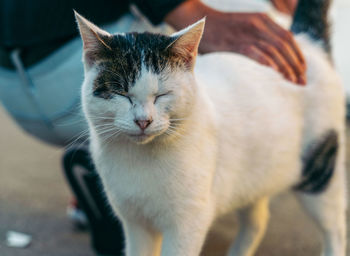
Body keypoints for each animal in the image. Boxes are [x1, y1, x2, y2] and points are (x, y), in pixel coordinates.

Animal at [75, 0, 346, 255]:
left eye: (162, 95)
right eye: (122, 94)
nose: (143, 121)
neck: (140, 159)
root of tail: (305, 42)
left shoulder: (187, 223)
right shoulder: (135, 224)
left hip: (319, 175)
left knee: (336, 232)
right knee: (257, 221)